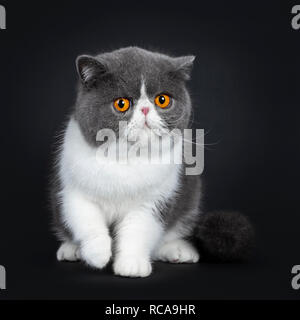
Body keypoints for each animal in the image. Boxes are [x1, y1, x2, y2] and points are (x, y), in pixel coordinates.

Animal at [51, 46, 253, 276]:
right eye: (121, 104)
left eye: (162, 100)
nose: (145, 109)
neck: (127, 159)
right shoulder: (72, 188)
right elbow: (86, 219)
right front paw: (97, 254)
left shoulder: (157, 199)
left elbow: (138, 230)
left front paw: (132, 265)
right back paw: (71, 249)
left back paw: (178, 250)